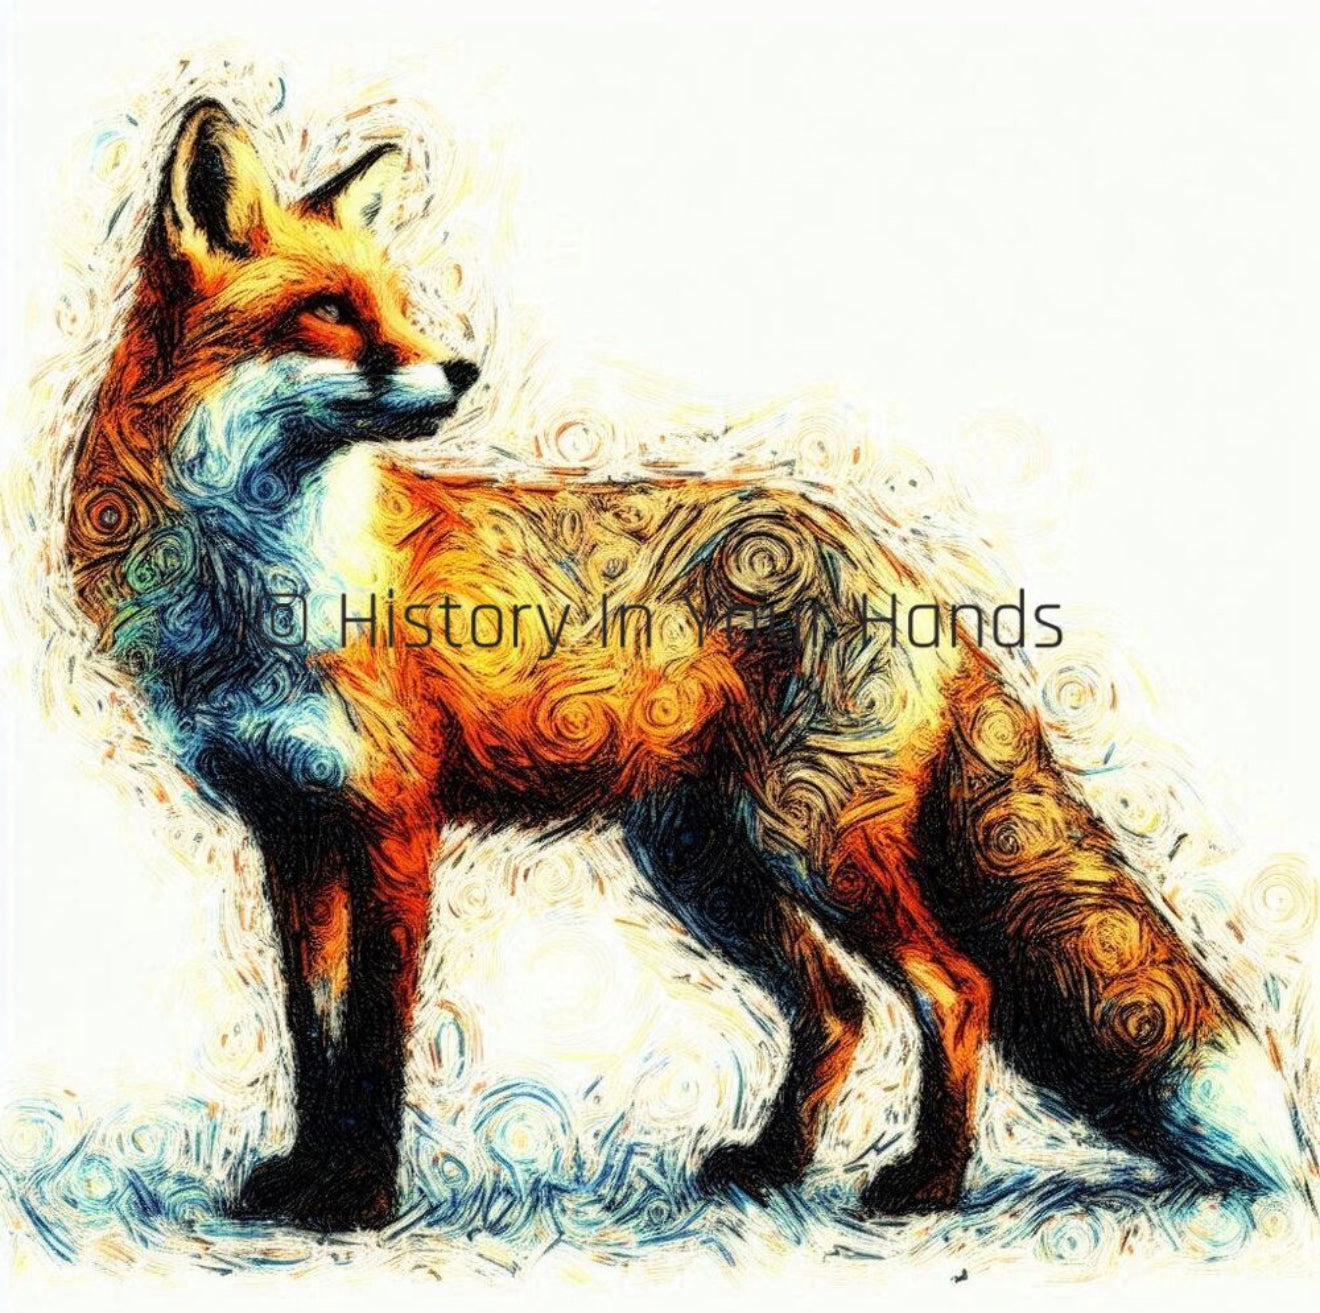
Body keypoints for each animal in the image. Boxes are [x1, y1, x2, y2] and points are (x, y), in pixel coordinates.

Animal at [64, 98, 1308, 1231]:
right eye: (328, 310)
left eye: (401, 308)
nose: (462, 369)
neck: (254, 579)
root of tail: (891, 554)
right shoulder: (291, 828)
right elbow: (314, 1036)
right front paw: (300, 1180)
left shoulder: (393, 825)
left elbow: (372, 1041)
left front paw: (360, 1197)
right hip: (711, 862)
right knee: (841, 1007)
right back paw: (775, 1161)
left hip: (810, 841)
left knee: (960, 988)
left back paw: (925, 1183)